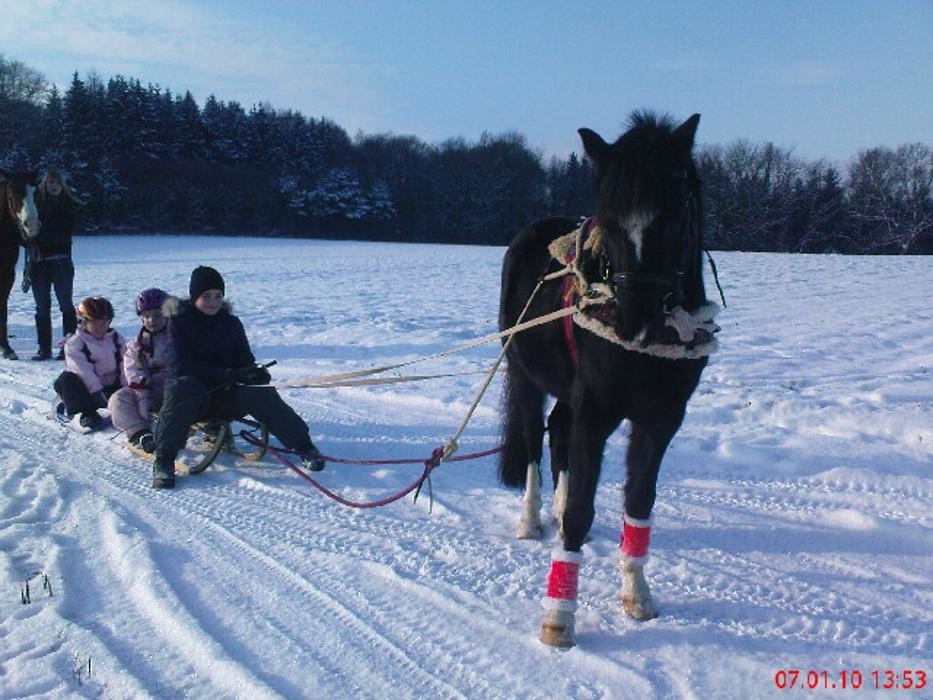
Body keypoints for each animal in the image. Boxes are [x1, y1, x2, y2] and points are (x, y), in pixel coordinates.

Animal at [498, 113, 716, 644]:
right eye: (608, 218)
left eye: (674, 213)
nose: (633, 321)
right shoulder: (596, 410)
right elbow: (582, 507)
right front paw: (559, 618)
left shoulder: (662, 418)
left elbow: (638, 502)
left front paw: (637, 595)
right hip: (525, 374)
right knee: (533, 439)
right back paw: (531, 519)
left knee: (558, 431)